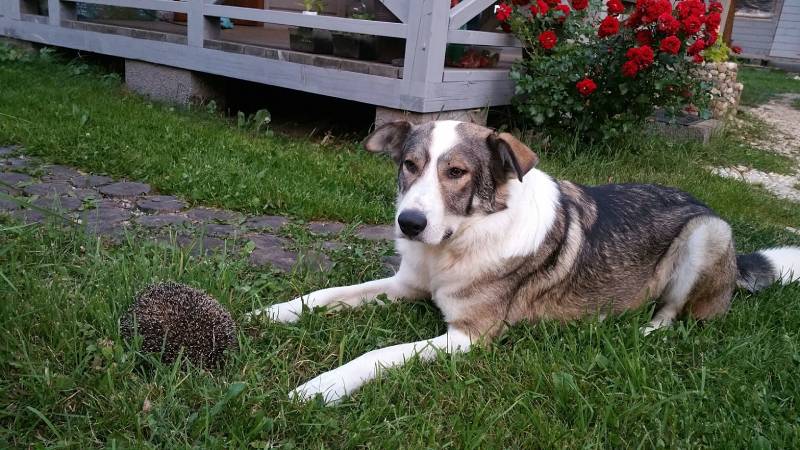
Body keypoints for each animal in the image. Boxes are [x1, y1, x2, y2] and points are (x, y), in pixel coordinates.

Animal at [247, 119, 796, 404]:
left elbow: (378, 354)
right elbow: (325, 295)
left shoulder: (469, 336)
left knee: (673, 314)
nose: (409, 223)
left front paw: (322, 386)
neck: (457, 240)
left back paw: (642, 330)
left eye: (457, 172)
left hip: (707, 233)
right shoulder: (405, 285)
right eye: (410, 165)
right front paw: (268, 314)